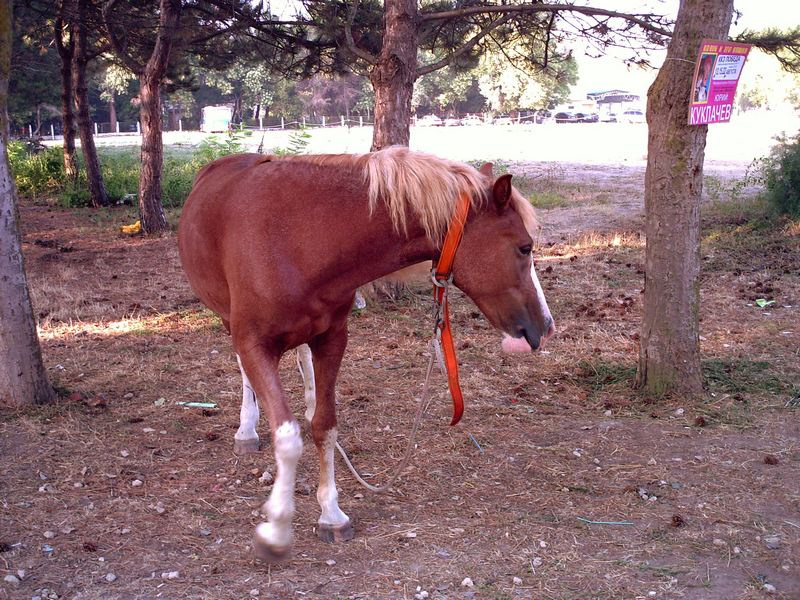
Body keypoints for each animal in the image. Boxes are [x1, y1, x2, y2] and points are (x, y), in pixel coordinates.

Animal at [177, 146, 555, 561]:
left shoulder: (332, 338)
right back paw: (246, 430)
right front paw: (276, 529)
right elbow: (287, 435)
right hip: (229, 321)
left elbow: (324, 425)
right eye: (524, 247)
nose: (546, 326)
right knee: (246, 374)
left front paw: (331, 514)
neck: (298, 238)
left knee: (302, 363)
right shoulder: (253, 343)